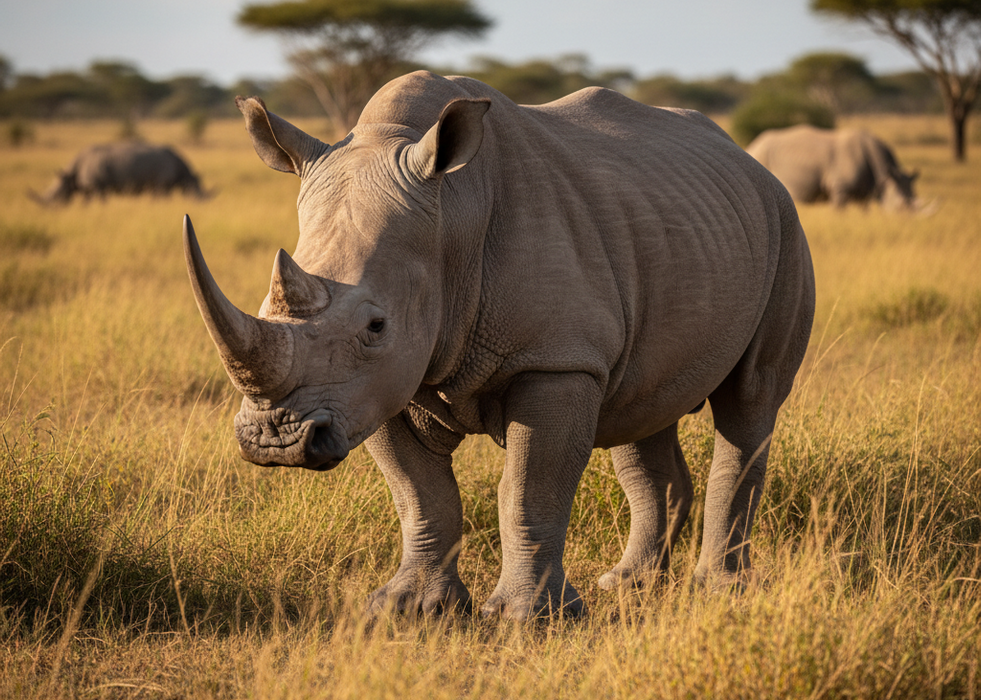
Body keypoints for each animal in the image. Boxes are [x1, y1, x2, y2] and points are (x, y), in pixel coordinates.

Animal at [184, 71, 815, 619]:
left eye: (375, 326)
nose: (275, 441)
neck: (451, 221)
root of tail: (749, 161)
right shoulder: (373, 387)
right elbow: (419, 493)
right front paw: (409, 610)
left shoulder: (554, 360)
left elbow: (528, 491)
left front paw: (528, 619)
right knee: (641, 409)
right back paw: (628, 585)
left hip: (785, 225)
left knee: (750, 400)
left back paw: (720, 591)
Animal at [746, 124, 918, 210]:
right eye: (901, 205)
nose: (908, 223)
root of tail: (752, 144)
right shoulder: (840, 187)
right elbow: (839, 211)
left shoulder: (866, 189)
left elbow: (864, 210)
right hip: (761, 155)